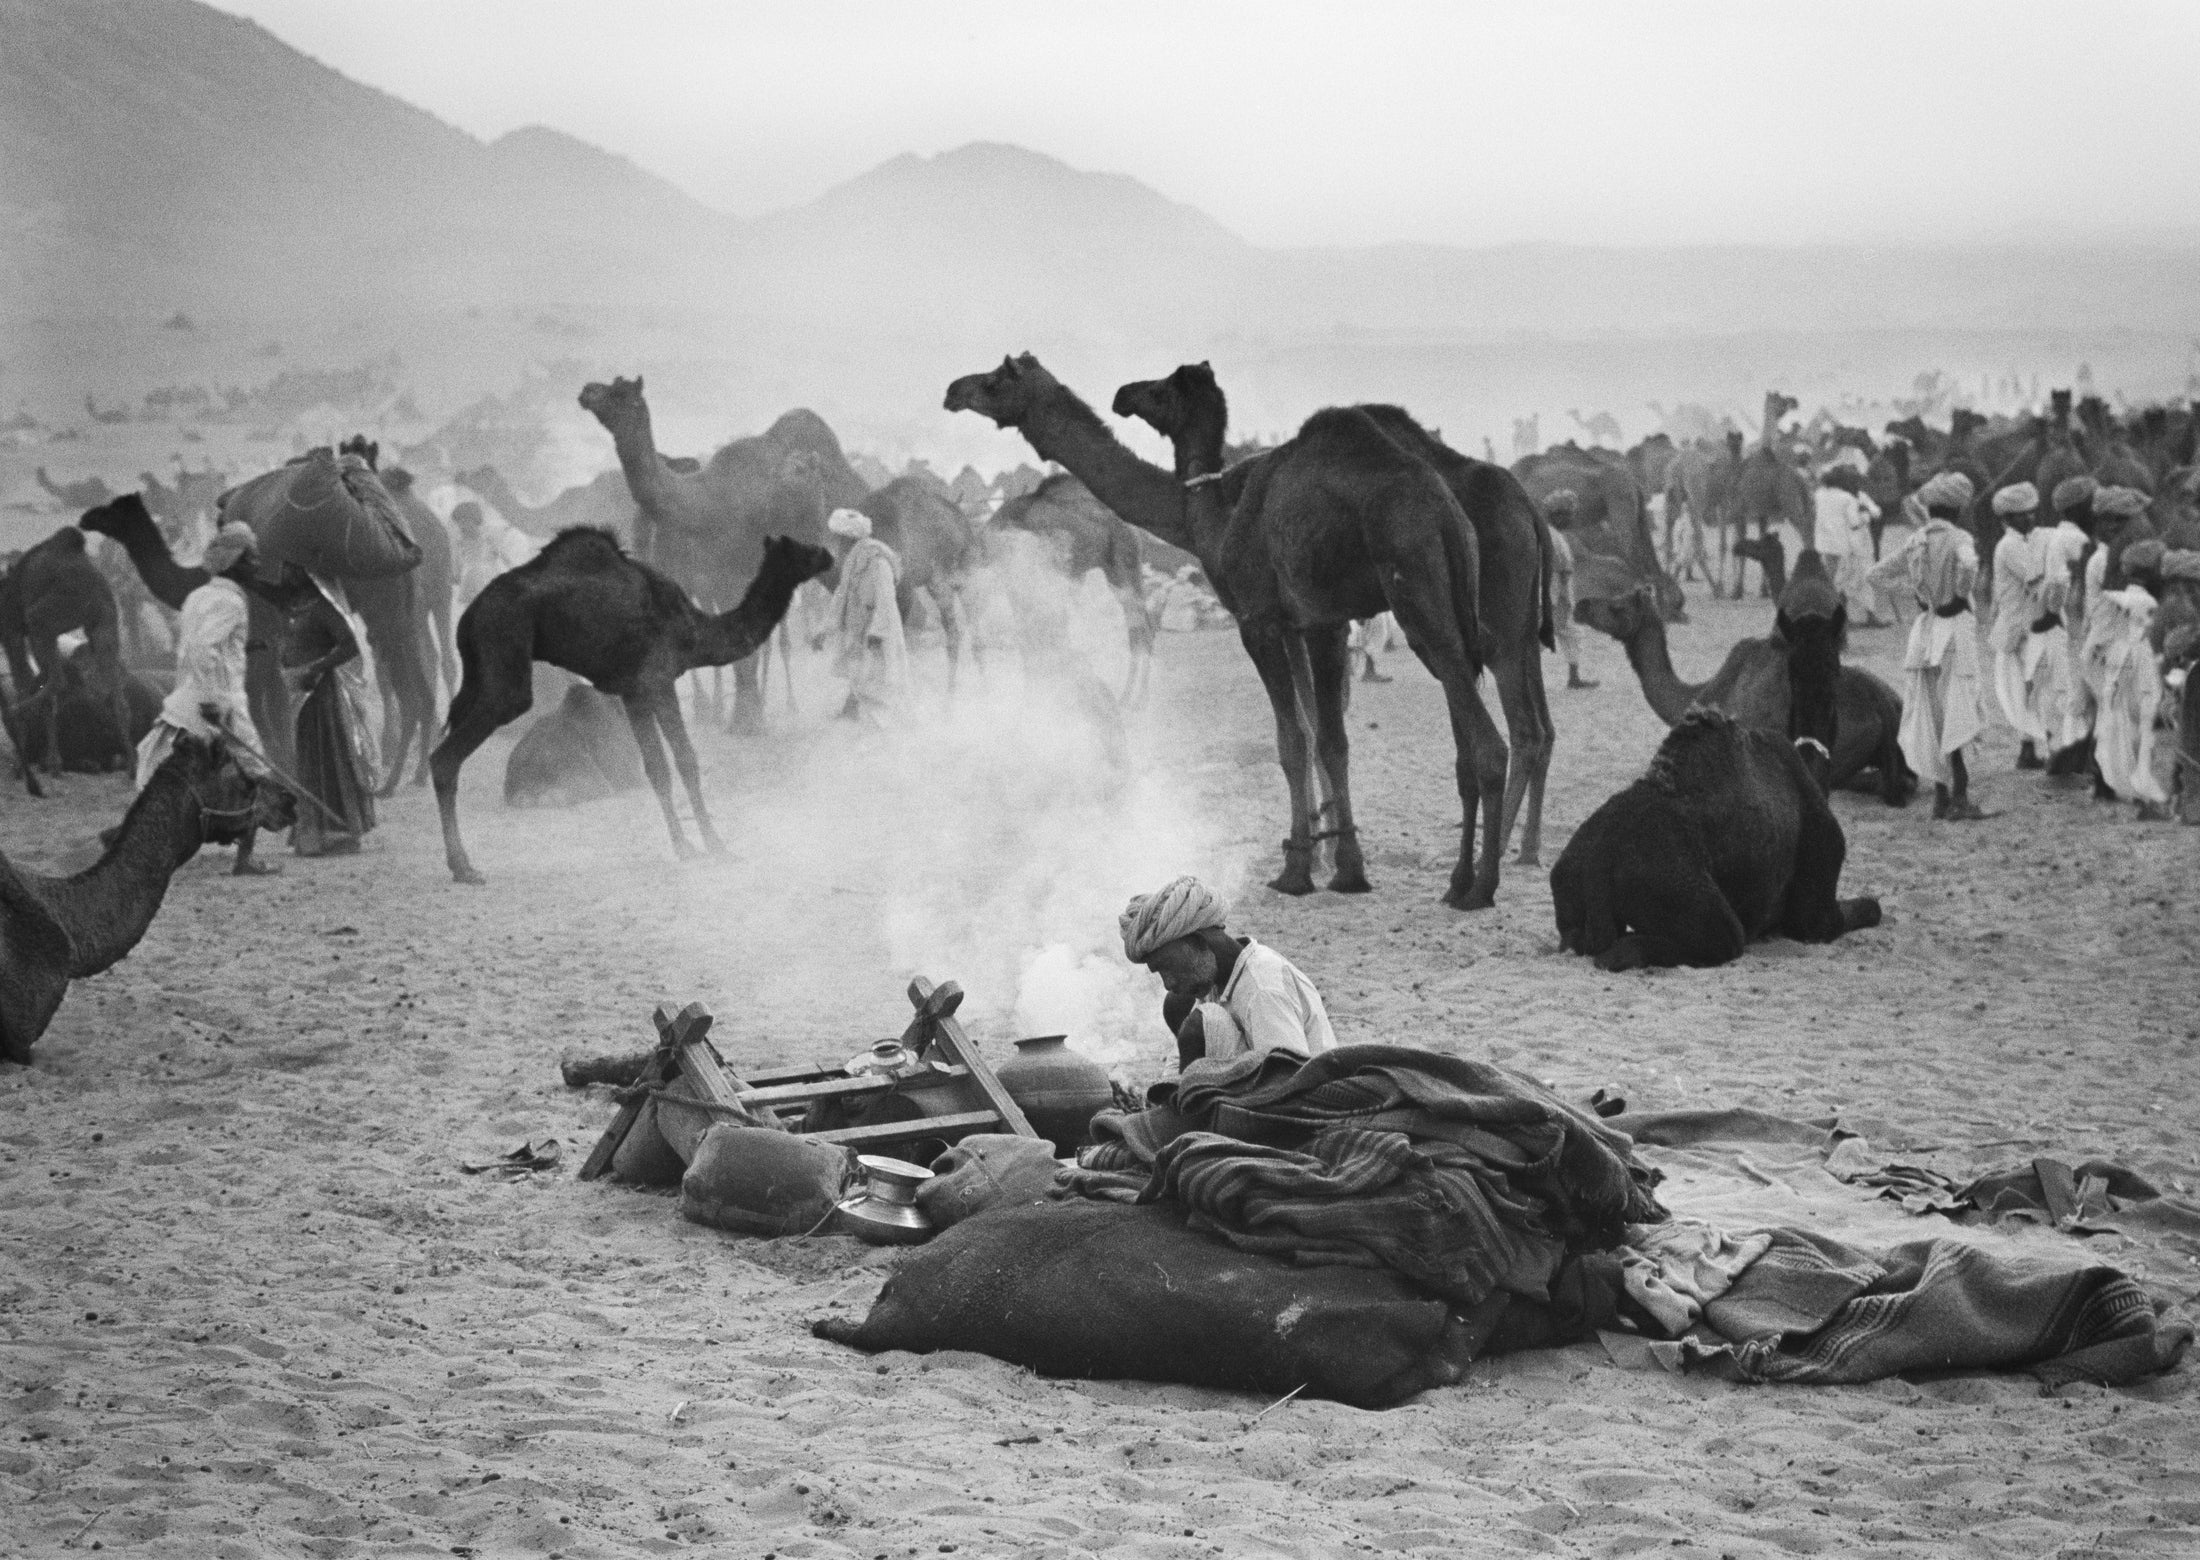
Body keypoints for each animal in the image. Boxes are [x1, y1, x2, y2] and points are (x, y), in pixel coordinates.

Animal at [0, 527, 134, 780]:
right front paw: (52, 763)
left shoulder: (12, 629)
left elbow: (24, 680)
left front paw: (25, 764)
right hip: (105, 621)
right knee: (116, 695)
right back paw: (133, 766)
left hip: (47, 615)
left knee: (55, 679)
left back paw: (17, 712)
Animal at [429, 529, 833, 884]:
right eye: (804, 549)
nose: (829, 555)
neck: (694, 630)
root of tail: (470, 614)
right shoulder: (660, 679)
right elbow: (685, 759)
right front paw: (717, 846)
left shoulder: (633, 691)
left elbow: (656, 767)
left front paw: (685, 847)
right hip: (506, 662)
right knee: (448, 756)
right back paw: (465, 868)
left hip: (476, 671)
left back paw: (460, 864)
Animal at [949, 354, 1546, 908]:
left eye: (997, 378)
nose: (953, 390)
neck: (1214, 514)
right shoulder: (1316, 622)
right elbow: (1329, 738)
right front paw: (1343, 863)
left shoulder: (1259, 620)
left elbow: (1294, 739)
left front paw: (1299, 868)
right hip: (1487, 628)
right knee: (1501, 731)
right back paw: (1478, 870)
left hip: (1435, 607)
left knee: (1497, 737)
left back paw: (1484, 882)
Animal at [1551, 710, 1881, 971]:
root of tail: (1599, 860)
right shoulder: (1817, 915)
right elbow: (1866, 909)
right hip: (1709, 916)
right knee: (1721, 943)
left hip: (1567, 887)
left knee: (1577, 941)